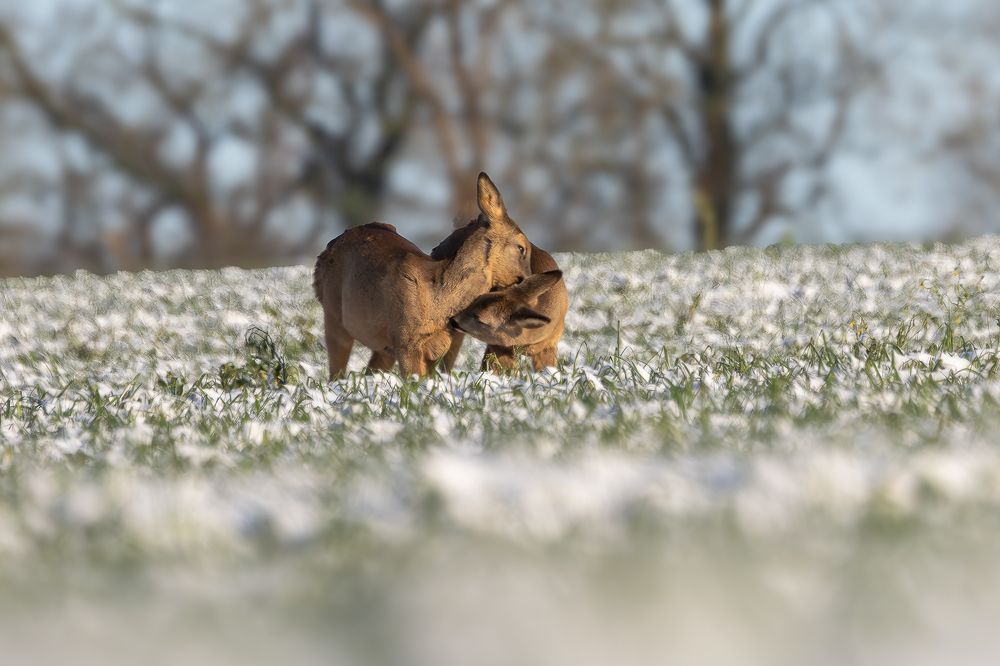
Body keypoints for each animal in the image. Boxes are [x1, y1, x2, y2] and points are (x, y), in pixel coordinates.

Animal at [312, 172, 531, 379]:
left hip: (383, 346)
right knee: (335, 373)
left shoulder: (435, 348)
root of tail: (328, 247)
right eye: (521, 247)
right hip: (333, 313)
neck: (437, 299)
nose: (528, 278)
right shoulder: (406, 343)